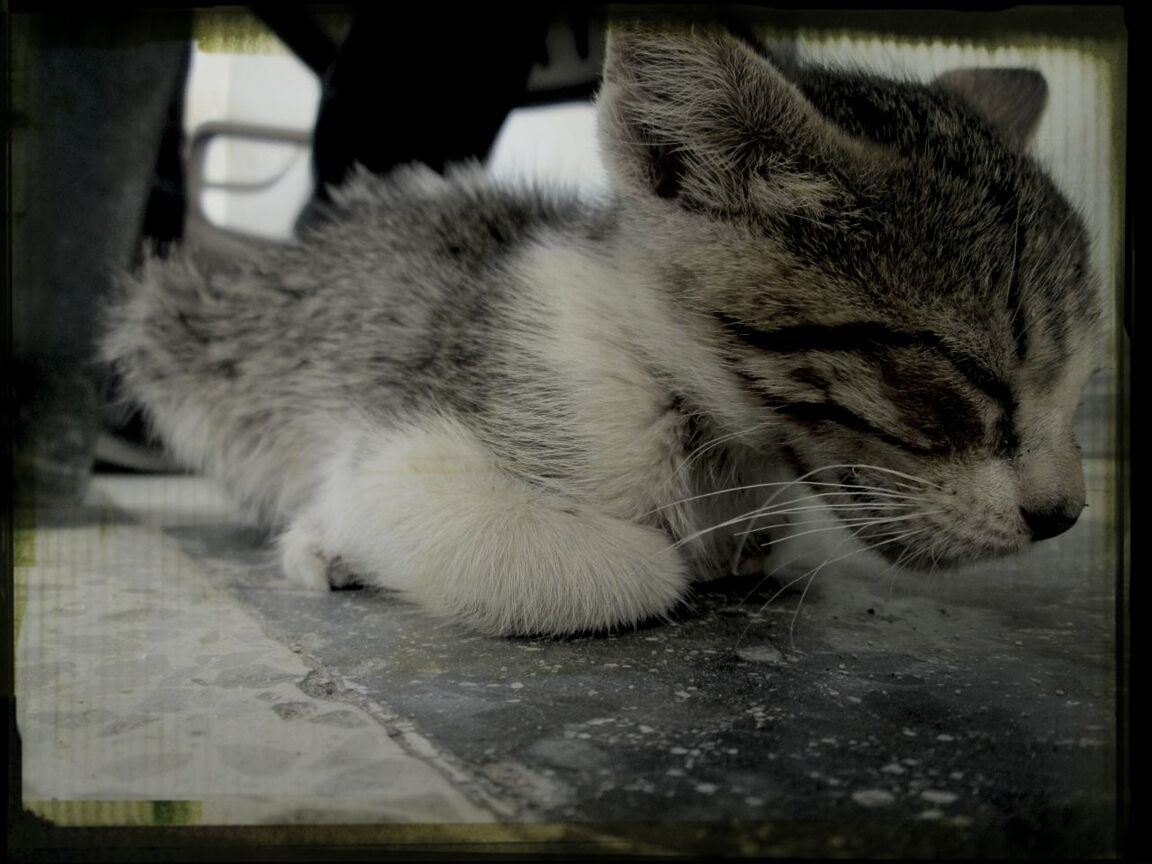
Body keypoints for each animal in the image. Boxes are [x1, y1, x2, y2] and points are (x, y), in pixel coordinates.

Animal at [103, 25, 1101, 635]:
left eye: (1081, 384)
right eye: (968, 373)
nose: (1065, 516)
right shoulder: (412, 432)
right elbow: (628, 568)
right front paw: (326, 539)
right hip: (176, 325)